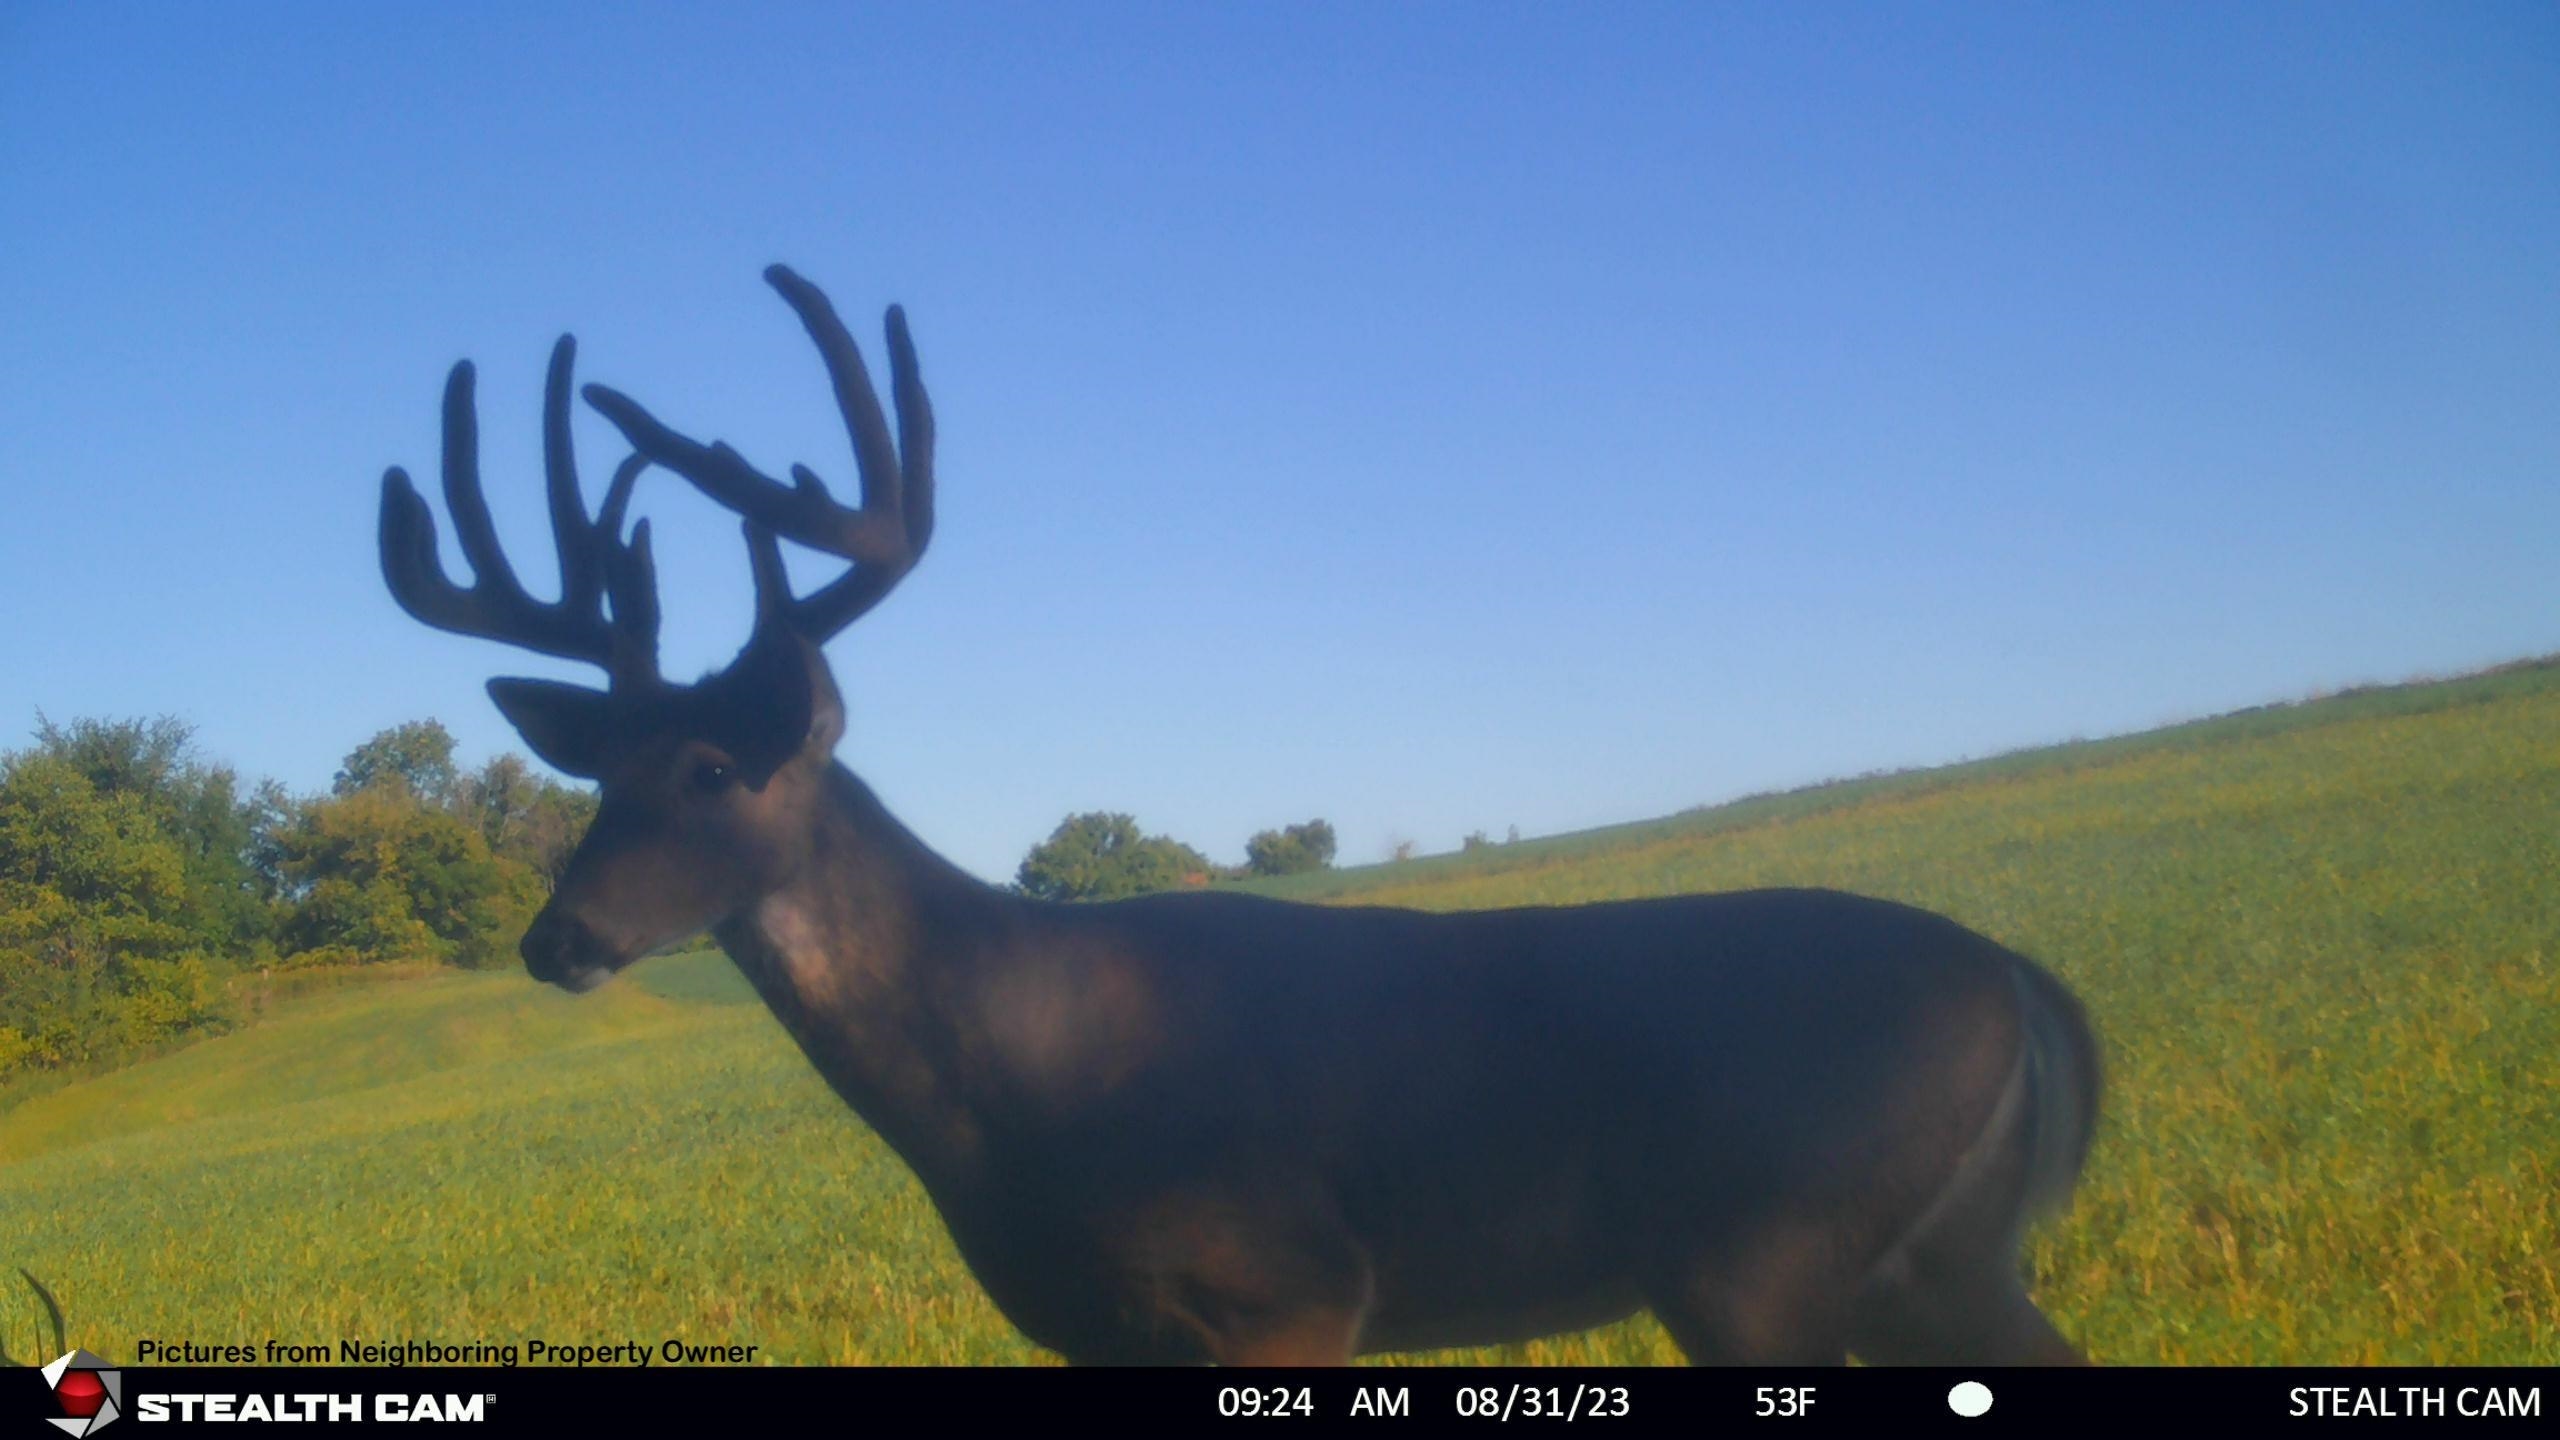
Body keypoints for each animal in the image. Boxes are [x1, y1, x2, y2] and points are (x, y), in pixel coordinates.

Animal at [376, 265, 2101, 1367]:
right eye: (595, 779)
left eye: (715, 773)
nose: (558, 938)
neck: (1019, 1080)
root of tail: (2032, 991)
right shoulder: (1100, 1335)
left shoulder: (1286, 1287)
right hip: (1924, 1260)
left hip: (1770, 1246)